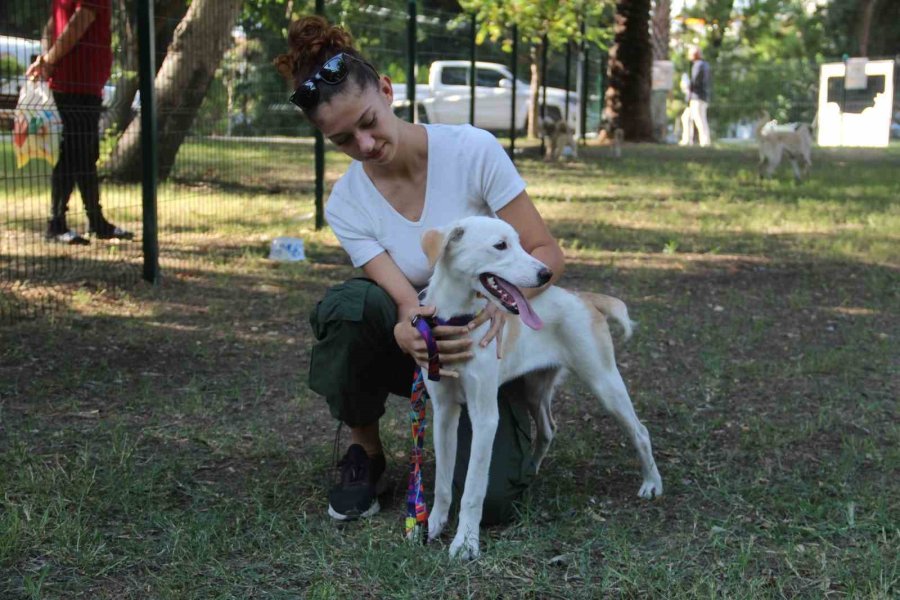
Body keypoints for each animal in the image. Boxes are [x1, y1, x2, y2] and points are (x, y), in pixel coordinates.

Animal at [420, 218, 660, 560]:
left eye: (520, 243)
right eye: (500, 245)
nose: (545, 274)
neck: (459, 320)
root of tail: (583, 297)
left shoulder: (485, 418)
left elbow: (473, 489)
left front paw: (465, 542)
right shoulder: (443, 413)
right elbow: (442, 482)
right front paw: (433, 526)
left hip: (604, 382)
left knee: (640, 431)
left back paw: (652, 483)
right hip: (534, 390)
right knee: (548, 428)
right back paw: (531, 469)